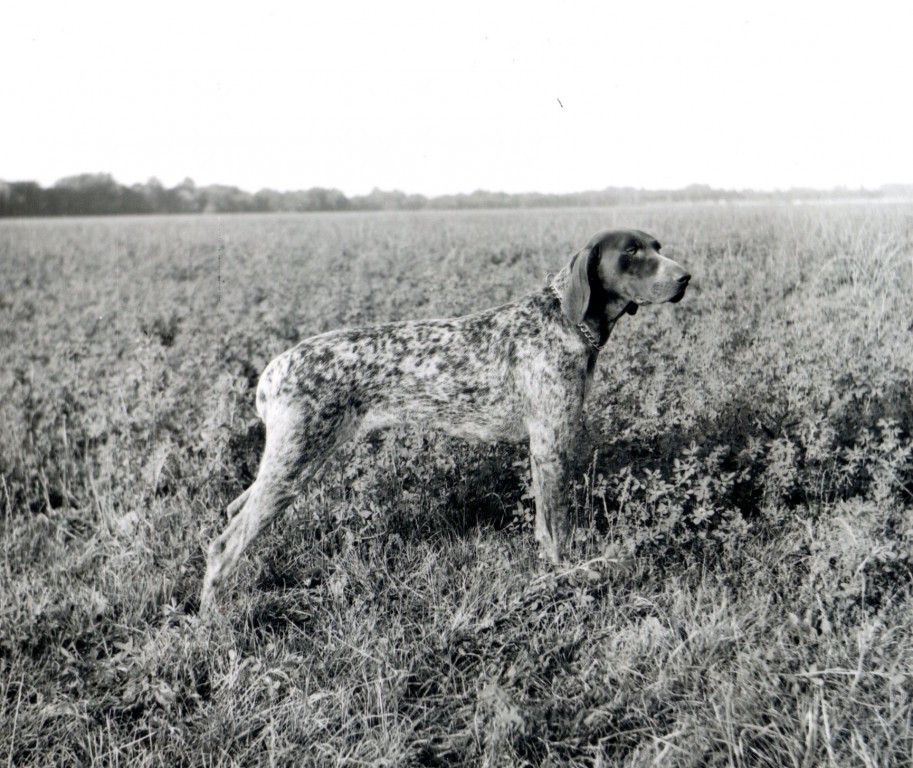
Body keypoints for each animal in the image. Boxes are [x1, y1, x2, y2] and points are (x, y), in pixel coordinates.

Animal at [198, 228, 684, 612]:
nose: (685, 277)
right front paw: (565, 577)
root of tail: (272, 371)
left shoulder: (545, 449)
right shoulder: (550, 446)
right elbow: (556, 531)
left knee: (235, 511)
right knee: (224, 545)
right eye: (632, 252)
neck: (566, 319)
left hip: (290, 462)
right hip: (295, 462)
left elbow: (545, 527)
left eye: (658, 246)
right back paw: (212, 621)